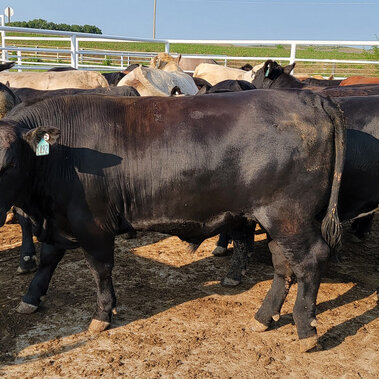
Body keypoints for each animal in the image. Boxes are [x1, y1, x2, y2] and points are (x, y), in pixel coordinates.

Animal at [0, 90, 344, 352]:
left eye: (11, 162)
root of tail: (310, 97)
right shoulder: (59, 220)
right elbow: (48, 258)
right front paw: (31, 297)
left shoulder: (93, 225)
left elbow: (100, 270)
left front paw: (102, 313)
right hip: (277, 221)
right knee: (283, 265)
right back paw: (263, 318)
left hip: (289, 217)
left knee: (310, 261)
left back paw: (306, 330)